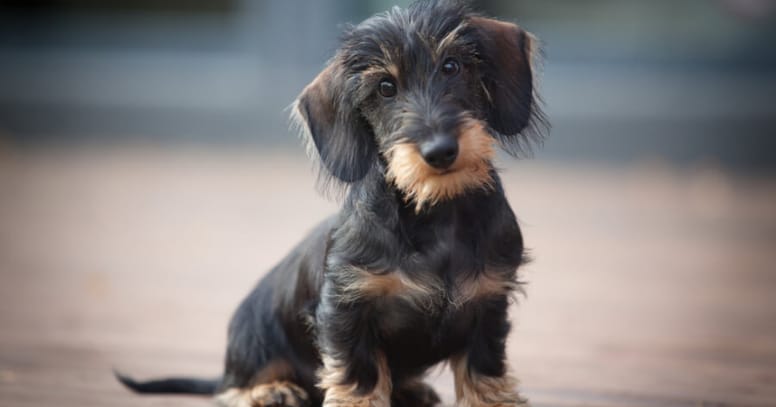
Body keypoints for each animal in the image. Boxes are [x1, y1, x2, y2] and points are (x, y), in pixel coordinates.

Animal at [118, 0, 548, 406]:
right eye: (385, 88)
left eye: (452, 66)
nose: (440, 151)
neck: (435, 214)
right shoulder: (346, 306)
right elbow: (359, 372)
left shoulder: (487, 302)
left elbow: (484, 372)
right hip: (255, 338)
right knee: (231, 387)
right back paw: (270, 390)